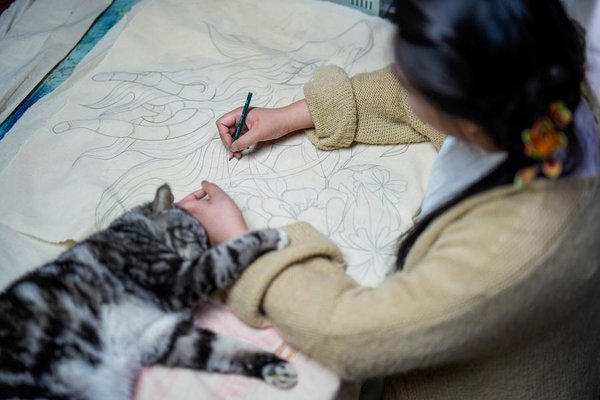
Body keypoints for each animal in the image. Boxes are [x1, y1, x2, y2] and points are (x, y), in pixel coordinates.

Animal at [0, 184, 298, 396]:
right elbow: (229, 252)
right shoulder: (177, 279)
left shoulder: (163, 334)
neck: (133, 231)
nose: (203, 248)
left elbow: (228, 350)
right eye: (196, 236)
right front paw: (274, 235)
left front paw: (275, 367)